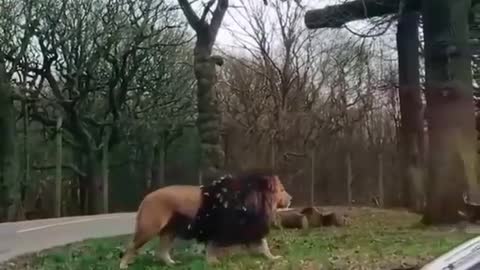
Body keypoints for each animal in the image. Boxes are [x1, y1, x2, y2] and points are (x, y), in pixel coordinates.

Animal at [120, 169, 292, 268]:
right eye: (282, 190)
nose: (291, 198)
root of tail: (146, 197)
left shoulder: (249, 226)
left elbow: (264, 246)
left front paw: (273, 258)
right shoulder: (223, 227)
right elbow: (212, 247)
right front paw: (213, 262)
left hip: (170, 231)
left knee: (161, 252)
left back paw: (172, 264)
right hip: (149, 228)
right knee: (131, 247)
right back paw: (123, 265)